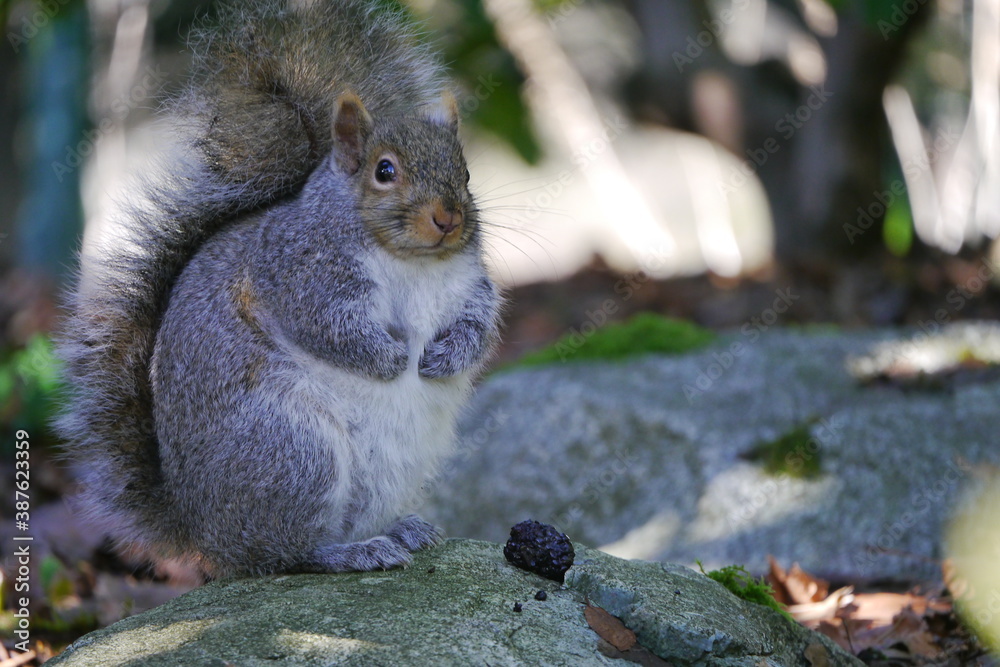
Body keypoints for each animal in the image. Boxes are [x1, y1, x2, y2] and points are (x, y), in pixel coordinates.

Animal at [55, 0, 502, 577]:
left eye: (465, 174)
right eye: (384, 171)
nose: (448, 219)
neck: (413, 263)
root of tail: (203, 530)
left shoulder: (470, 286)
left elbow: (479, 324)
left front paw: (447, 356)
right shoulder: (296, 274)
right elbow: (332, 328)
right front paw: (392, 359)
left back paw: (398, 532)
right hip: (292, 448)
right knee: (281, 554)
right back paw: (348, 552)